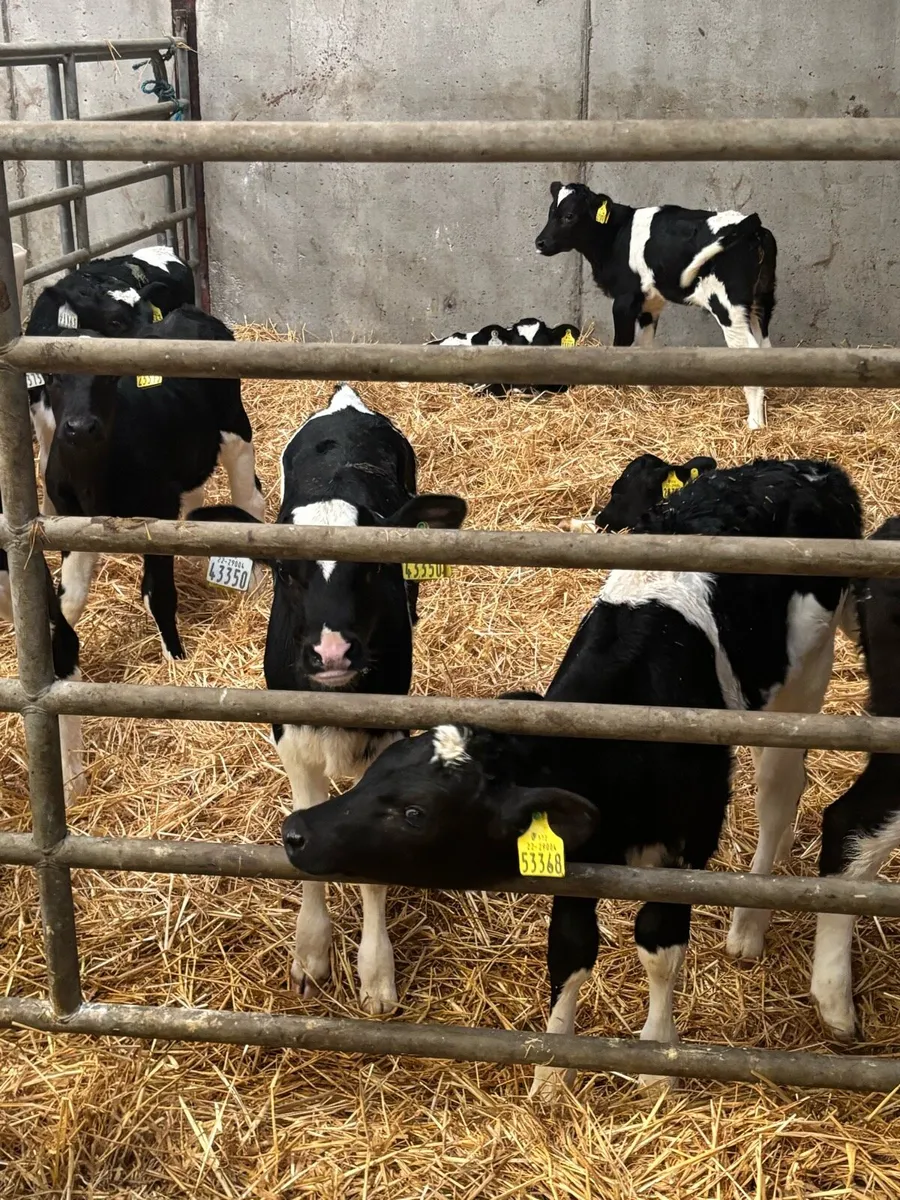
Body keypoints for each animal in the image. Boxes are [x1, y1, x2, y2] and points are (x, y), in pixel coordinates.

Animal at [188, 383, 467, 1013]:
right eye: (284, 571)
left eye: (372, 567)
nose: (334, 652)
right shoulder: (292, 740)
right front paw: (312, 953)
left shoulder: (386, 740)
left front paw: (376, 975)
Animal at [281, 459, 862, 1096]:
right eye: (372, 778)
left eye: (416, 812)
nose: (296, 832)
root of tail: (804, 470)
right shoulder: (570, 848)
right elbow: (570, 950)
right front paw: (550, 1069)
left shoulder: (690, 842)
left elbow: (659, 946)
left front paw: (656, 1059)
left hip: (802, 681)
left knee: (780, 791)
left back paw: (750, 923)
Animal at [535, 183, 777, 429]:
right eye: (550, 211)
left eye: (569, 215)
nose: (540, 242)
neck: (615, 237)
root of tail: (754, 228)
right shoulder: (650, 302)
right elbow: (645, 346)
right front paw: (645, 395)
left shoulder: (624, 300)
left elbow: (621, 344)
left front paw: (614, 394)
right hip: (761, 301)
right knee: (766, 347)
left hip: (728, 306)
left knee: (750, 351)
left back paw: (755, 424)